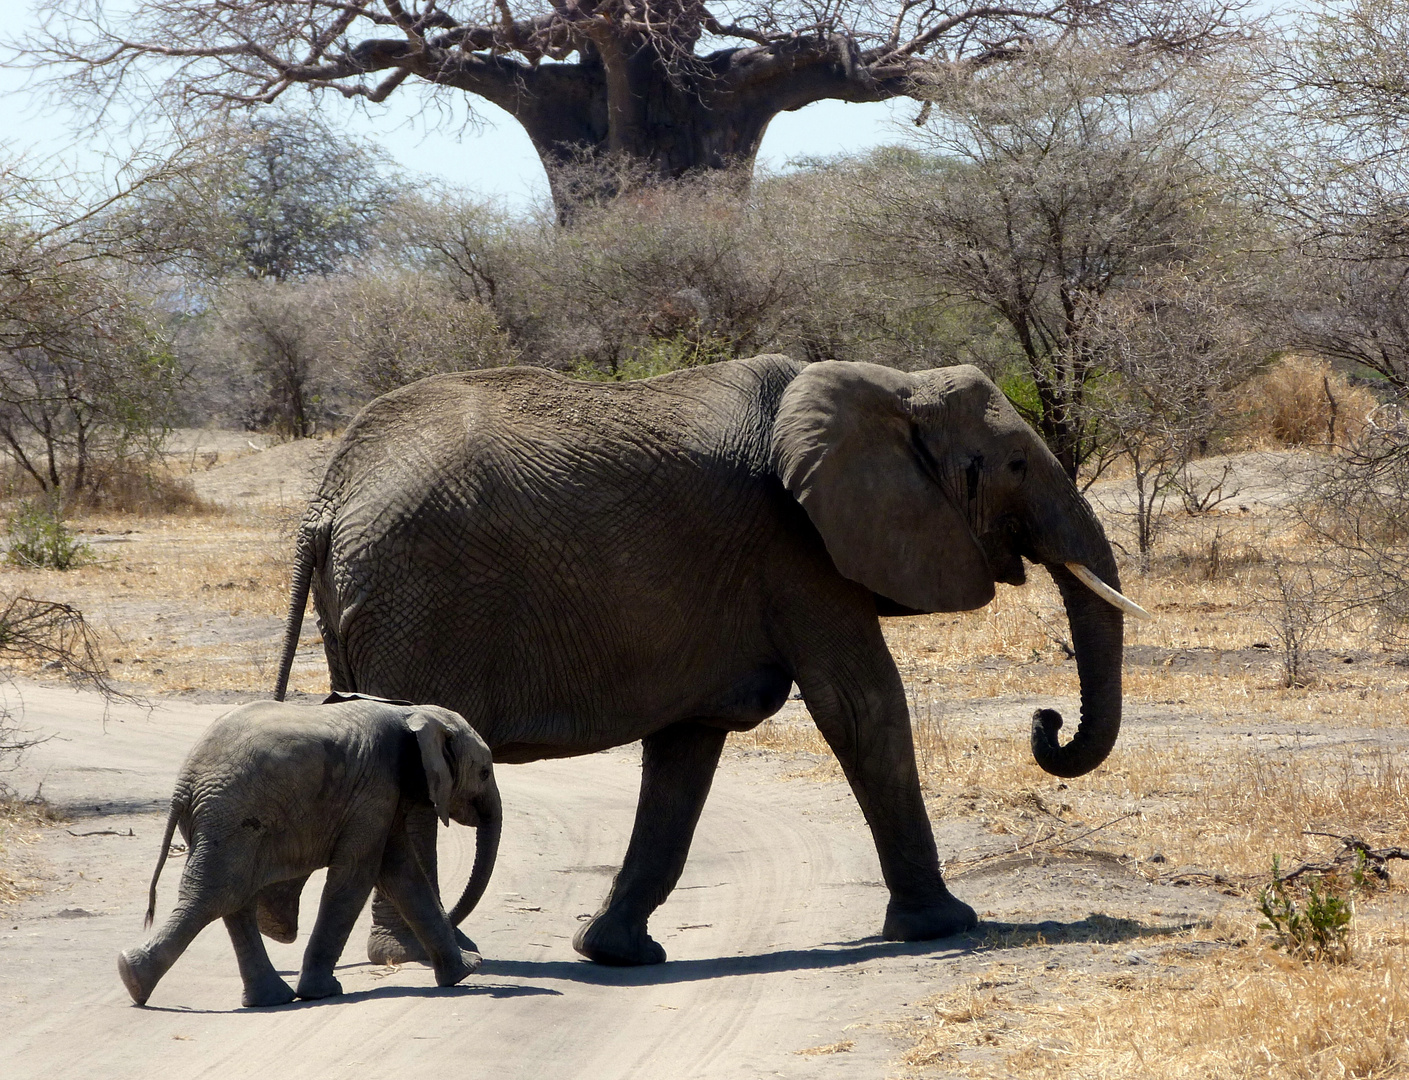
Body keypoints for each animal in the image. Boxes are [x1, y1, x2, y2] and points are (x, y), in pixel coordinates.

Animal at [118, 698, 501, 1008]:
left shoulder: (383, 796)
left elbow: (403, 875)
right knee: (216, 894)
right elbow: (356, 878)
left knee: (231, 896)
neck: (412, 714)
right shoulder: (375, 788)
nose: (478, 957)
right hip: (231, 815)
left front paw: (464, 971)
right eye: (484, 772)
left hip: (222, 820)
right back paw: (133, 977)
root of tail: (183, 786)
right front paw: (323, 992)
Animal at [269, 359, 1138, 968]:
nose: (1046, 720)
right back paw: (423, 956)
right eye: (1016, 464)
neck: (888, 386)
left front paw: (615, 952)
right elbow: (861, 708)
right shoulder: (797, 549)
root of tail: (328, 501)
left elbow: (687, 748)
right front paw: (944, 927)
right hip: (416, 601)